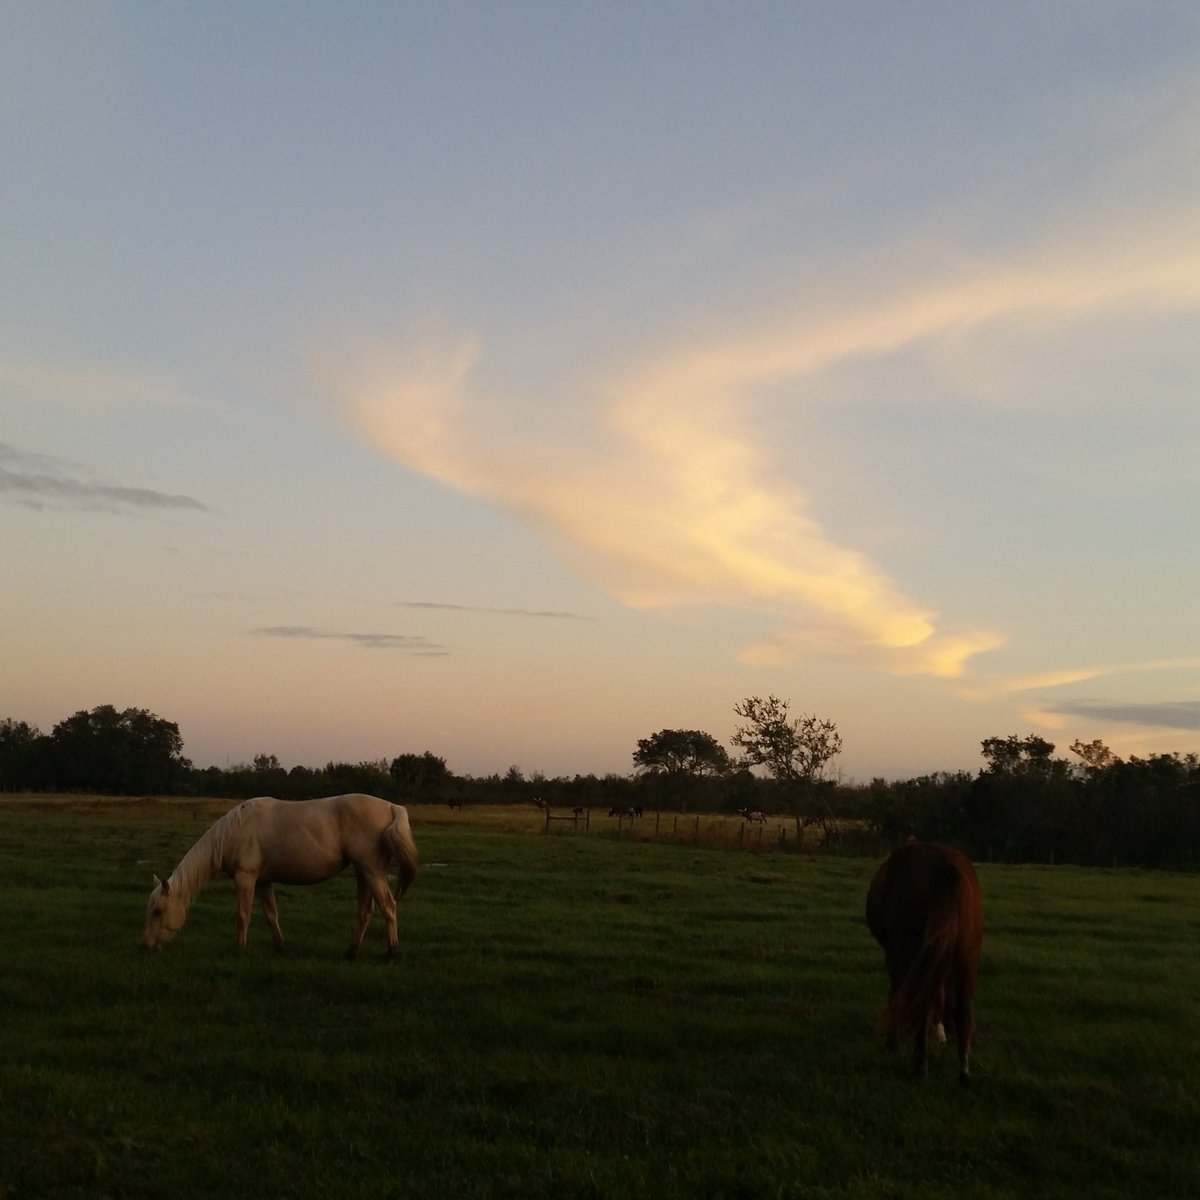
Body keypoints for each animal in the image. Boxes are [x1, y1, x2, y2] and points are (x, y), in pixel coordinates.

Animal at [142, 793, 419, 959]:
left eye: (158, 911)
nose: (147, 946)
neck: (233, 831)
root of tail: (392, 807)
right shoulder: (263, 880)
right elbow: (270, 914)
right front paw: (280, 946)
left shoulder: (245, 877)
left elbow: (243, 915)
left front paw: (239, 949)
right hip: (363, 873)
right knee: (365, 911)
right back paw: (351, 951)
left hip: (372, 872)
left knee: (388, 907)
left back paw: (391, 952)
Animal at [865, 840, 982, 1086]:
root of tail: (945, 867)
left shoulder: (896, 956)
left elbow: (898, 995)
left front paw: (893, 1041)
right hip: (967, 959)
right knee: (964, 1011)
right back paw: (963, 1075)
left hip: (909, 953)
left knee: (919, 1005)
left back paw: (920, 1067)